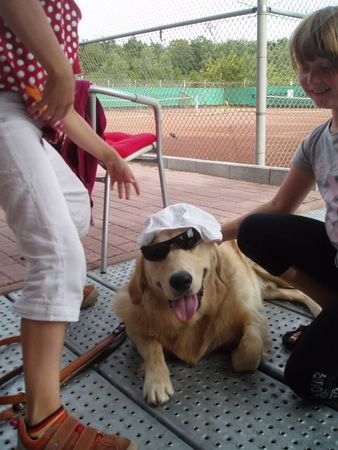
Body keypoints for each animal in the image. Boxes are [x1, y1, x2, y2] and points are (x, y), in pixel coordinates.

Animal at [113, 216, 320, 406]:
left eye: (191, 242)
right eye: (156, 252)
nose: (180, 280)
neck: (195, 317)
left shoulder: (253, 312)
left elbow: (250, 349)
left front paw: (238, 354)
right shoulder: (134, 325)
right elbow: (152, 349)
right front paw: (157, 382)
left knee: (302, 291)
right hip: (269, 289)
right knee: (296, 293)